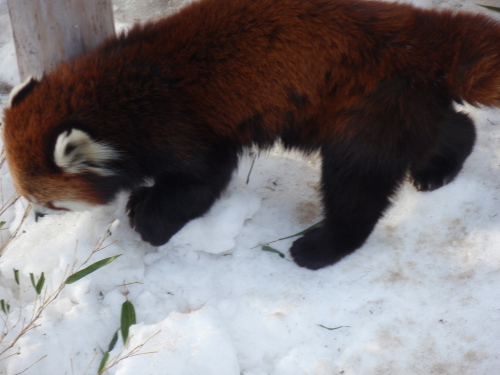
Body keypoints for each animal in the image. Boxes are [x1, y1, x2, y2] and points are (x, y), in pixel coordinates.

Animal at [0, 0, 500, 270]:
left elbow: (202, 177)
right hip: (396, 101)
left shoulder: (178, 123)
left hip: (366, 104)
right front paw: (141, 200)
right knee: (444, 129)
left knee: (355, 184)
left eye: (52, 203)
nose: (37, 218)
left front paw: (149, 220)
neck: (121, 94)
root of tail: (417, 30)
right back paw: (442, 166)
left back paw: (322, 246)